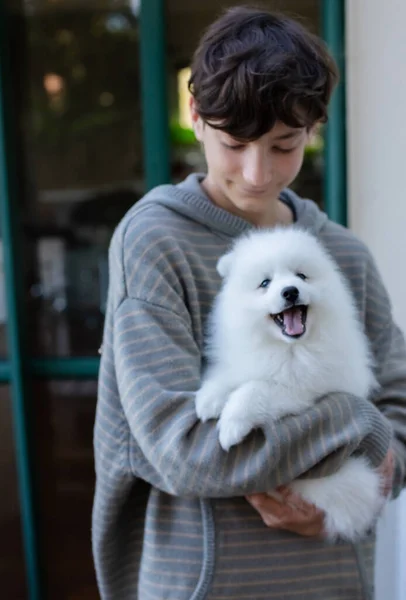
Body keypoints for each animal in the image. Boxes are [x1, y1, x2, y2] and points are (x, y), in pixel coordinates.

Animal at [196, 227, 384, 540]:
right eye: (265, 283)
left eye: (301, 276)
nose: (290, 291)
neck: (288, 348)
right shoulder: (249, 357)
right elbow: (234, 375)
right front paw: (208, 399)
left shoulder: (304, 388)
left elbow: (255, 389)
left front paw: (231, 425)